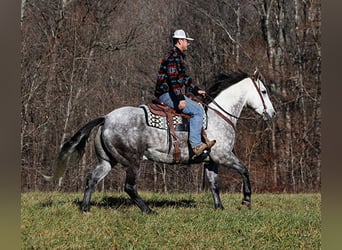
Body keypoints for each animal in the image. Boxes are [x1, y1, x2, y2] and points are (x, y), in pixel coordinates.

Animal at [44, 70, 276, 213]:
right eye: (264, 91)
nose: (272, 113)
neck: (218, 116)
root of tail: (106, 118)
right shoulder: (224, 156)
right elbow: (244, 170)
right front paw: (246, 200)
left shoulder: (212, 161)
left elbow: (213, 185)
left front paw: (219, 208)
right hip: (132, 161)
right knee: (129, 187)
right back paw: (149, 211)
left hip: (107, 161)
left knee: (92, 179)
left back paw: (86, 209)